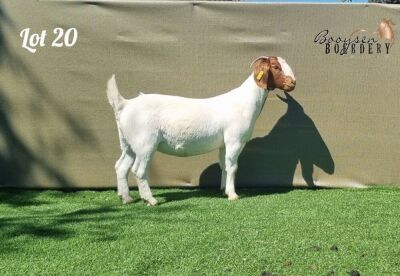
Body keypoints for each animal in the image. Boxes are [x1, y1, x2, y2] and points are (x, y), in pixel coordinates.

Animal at [108, 56, 296, 204]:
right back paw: (150, 200)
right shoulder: (234, 140)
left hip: (128, 143)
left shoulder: (223, 143)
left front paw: (224, 190)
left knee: (121, 166)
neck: (245, 101)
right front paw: (233, 195)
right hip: (145, 143)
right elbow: (233, 166)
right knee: (138, 170)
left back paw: (126, 198)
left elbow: (224, 165)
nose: (293, 83)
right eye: (276, 67)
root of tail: (124, 104)